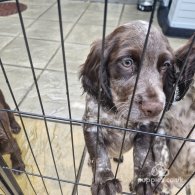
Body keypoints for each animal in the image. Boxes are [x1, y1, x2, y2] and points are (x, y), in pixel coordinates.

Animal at [80, 20, 187, 195]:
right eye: (127, 62)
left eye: (165, 65)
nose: (155, 108)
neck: (118, 113)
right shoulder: (91, 124)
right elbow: (99, 153)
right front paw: (104, 180)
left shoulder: (145, 128)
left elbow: (142, 154)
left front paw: (143, 178)